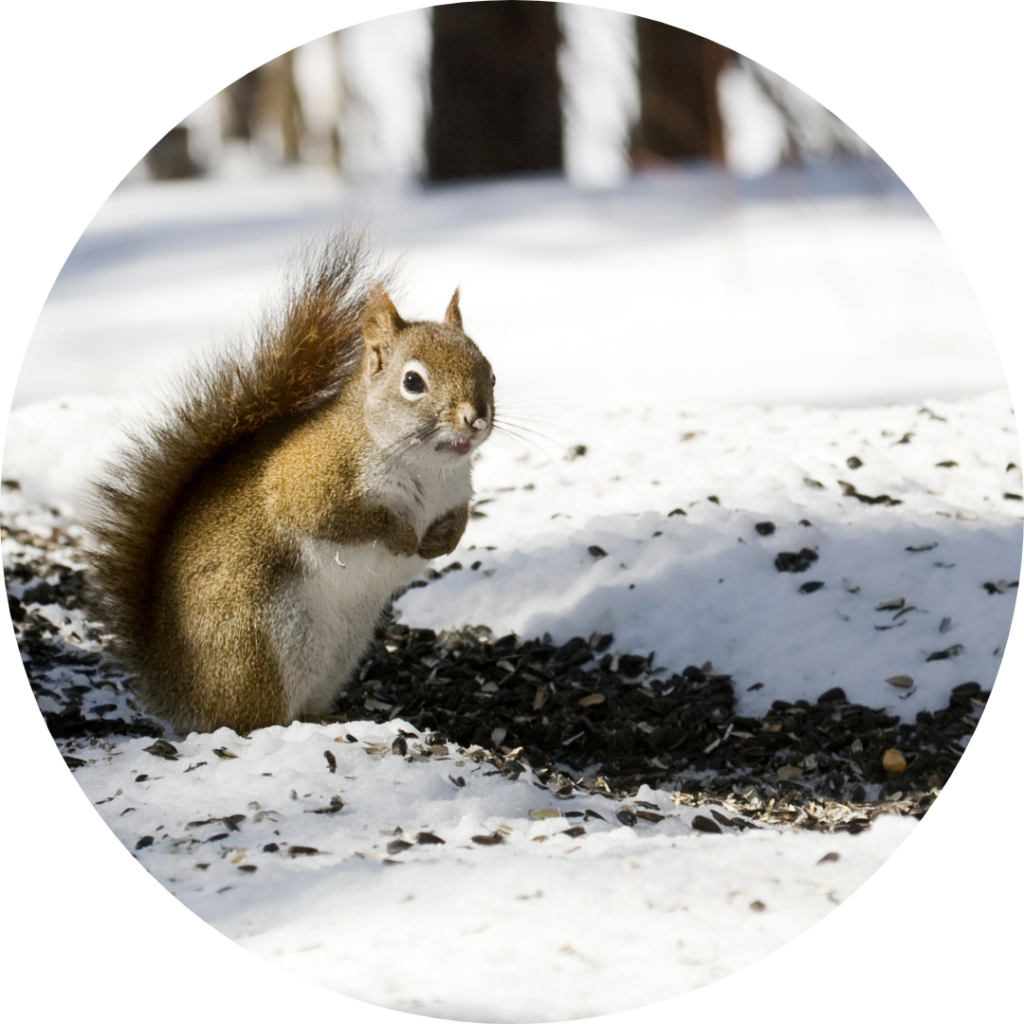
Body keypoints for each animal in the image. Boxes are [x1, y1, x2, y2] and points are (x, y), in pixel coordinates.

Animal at [86, 233, 495, 736]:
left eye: (491, 372)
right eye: (413, 382)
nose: (476, 419)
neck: (428, 471)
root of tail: (179, 693)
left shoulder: (455, 494)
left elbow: (458, 521)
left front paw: (442, 541)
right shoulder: (308, 483)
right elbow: (346, 520)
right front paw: (401, 536)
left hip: (337, 653)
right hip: (256, 650)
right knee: (257, 718)